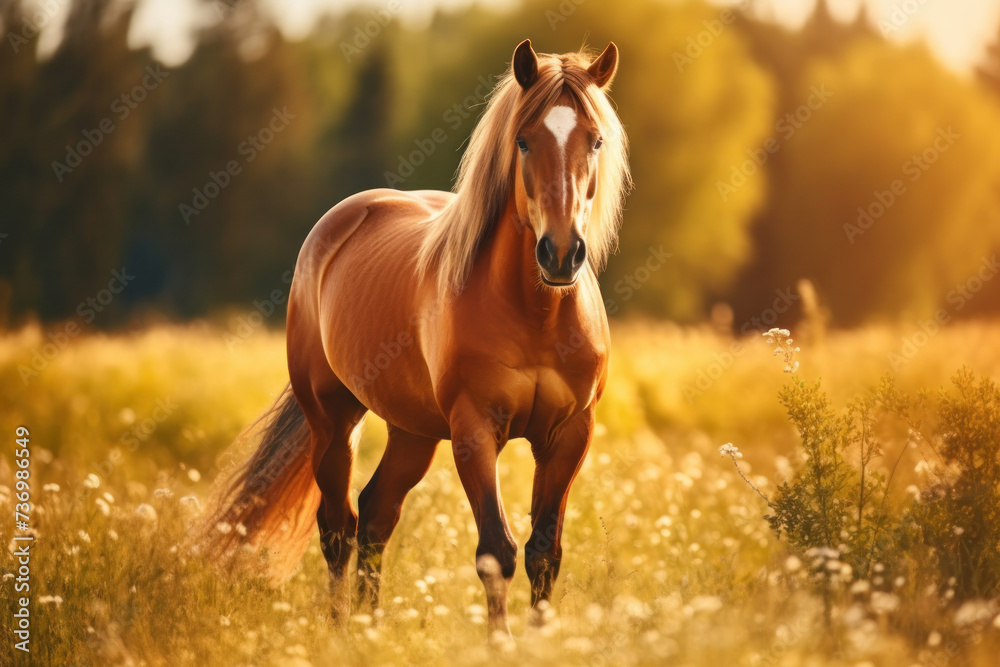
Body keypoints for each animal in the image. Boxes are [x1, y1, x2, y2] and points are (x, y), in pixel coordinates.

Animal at [206, 40, 628, 636]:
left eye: (595, 140)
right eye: (524, 140)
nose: (561, 254)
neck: (538, 314)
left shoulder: (569, 435)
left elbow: (544, 552)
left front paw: (539, 639)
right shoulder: (475, 431)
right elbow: (496, 551)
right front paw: (500, 643)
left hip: (413, 432)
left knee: (375, 515)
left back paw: (370, 628)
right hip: (333, 421)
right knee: (338, 526)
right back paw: (341, 631)